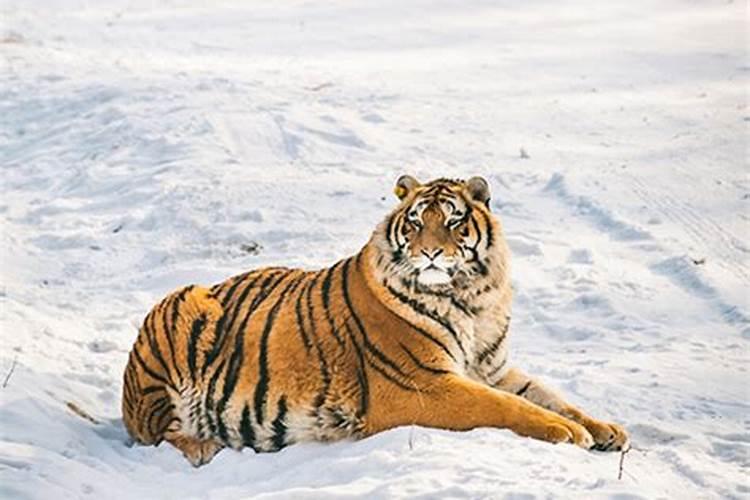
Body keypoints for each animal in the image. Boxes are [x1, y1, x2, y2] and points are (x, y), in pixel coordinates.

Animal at [122, 175, 628, 464]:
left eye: (453, 221)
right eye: (417, 221)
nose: (430, 253)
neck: (470, 298)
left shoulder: (493, 369)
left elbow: (550, 396)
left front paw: (605, 429)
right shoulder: (422, 386)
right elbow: (507, 407)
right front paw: (568, 433)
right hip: (182, 308)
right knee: (159, 432)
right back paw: (205, 447)